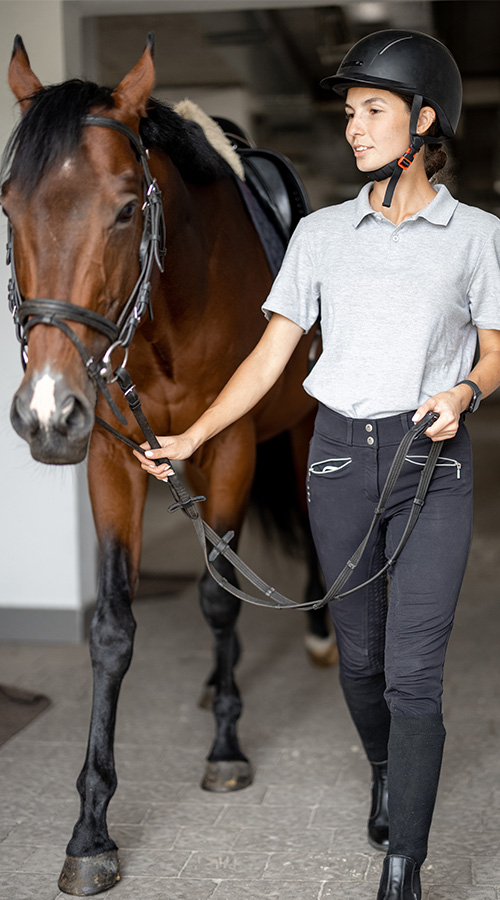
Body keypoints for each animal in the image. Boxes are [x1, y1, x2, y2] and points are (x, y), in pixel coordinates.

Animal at [3, 34, 332, 895]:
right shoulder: (112, 459)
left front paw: (226, 749)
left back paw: (317, 638)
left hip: (299, 429)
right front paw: (90, 829)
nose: (44, 410)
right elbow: (113, 629)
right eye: (9, 208)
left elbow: (218, 601)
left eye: (126, 208)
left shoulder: (233, 447)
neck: (168, 316)